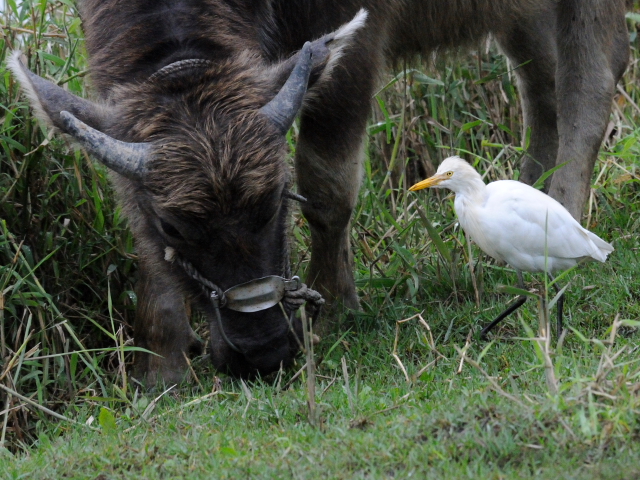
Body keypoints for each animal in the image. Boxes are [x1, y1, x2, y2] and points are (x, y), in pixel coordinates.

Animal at [10, 0, 632, 382]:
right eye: (173, 225)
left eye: (277, 201)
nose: (263, 350)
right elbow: (141, 234)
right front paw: (160, 364)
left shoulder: (350, 48)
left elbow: (327, 182)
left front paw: (331, 308)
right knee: (543, 87)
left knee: (592, 83)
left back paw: (564, 215)